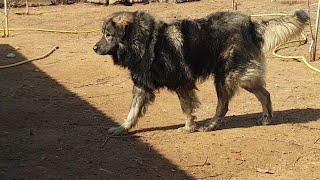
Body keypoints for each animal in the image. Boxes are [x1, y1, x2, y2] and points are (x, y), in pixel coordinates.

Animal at [94, 9, 308, 134]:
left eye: (108, 35)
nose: (94, 48)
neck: (145, 42)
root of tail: (250, 23)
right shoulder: (141, 87)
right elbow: (132, 111)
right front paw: (122, 128)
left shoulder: (182, 83)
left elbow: (186, 108)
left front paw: (189, 127)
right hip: (243, 77)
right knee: (265, 94)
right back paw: (266, 119)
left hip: (225, 77)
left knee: (223, 106)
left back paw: (212, 125)